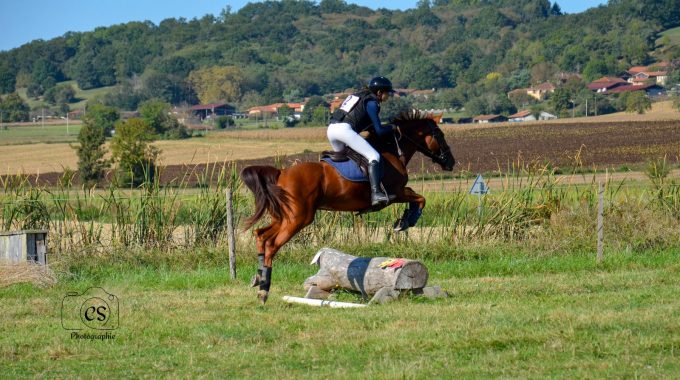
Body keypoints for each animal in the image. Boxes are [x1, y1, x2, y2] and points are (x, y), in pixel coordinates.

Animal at [242, 110, 454, 302]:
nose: (451, 162)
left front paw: (404, 220)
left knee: (260, 235)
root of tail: (281, 173)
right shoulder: (396, 193)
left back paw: (259, 278)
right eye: (440, 135)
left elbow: (418, 197)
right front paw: (407, 221)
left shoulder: (400, 192)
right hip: (298, 218)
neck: (391, 152)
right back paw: (264, 290)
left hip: (284, 217)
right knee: (271, 244)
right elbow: (420, 198)